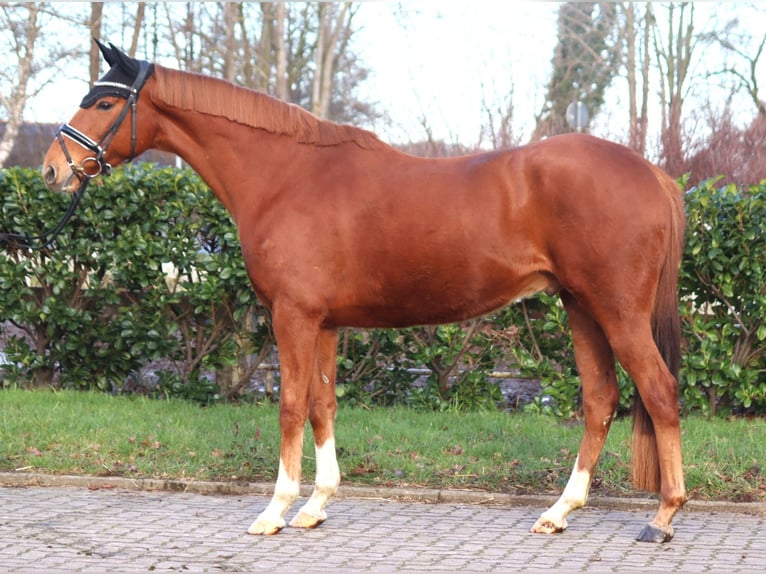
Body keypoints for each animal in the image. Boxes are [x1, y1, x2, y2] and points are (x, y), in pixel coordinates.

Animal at [42, 42, 688, 548]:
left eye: (103, 102)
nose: (53, 169)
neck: (286, 176)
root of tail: (651, 174)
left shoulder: (293, 317)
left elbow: (290, 405)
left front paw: (275, 510)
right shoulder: (324, 323)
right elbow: (323, 405)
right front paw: (315, 507)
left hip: (617, 311)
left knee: (658, 392)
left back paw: (662, 517)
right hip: (581, 307)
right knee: (601, 399)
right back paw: (558, 513)